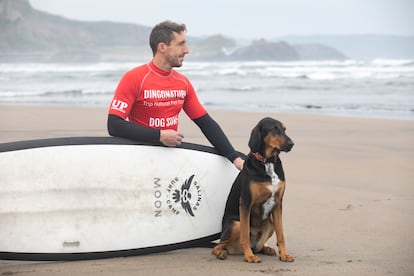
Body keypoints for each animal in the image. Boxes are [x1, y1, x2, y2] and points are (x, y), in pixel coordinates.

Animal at [213, 117, 294, 264]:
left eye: (284, 129)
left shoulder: (278, 204)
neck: (268, 162)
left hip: (270, 224)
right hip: (235, 223)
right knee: (219, 245)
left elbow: (281, 234)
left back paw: (266, 249)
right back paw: (222, 253)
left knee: (258, 246)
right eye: (274, 128)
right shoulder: (246, 202)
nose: (291, 144)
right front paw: (249, 256)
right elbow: (245, 234)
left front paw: (284, 254)